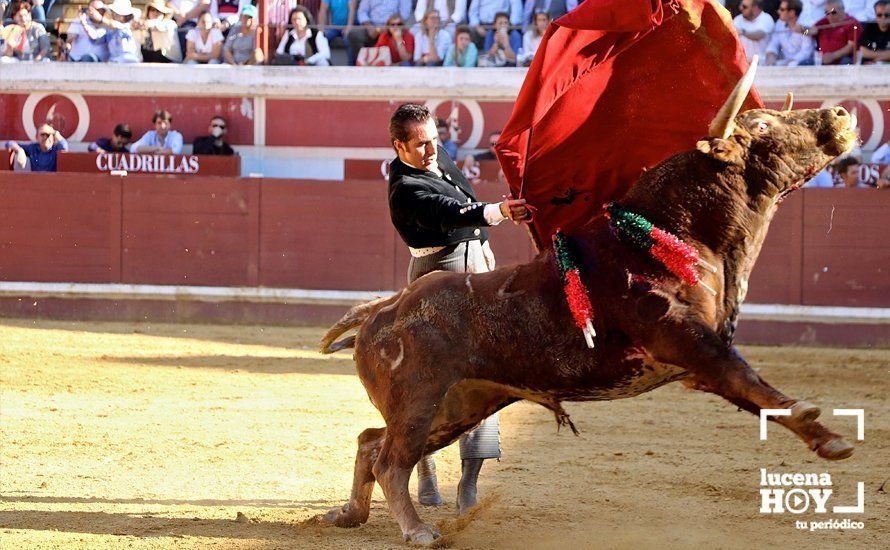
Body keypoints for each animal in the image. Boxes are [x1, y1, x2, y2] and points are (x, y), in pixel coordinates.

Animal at [316, 62, 856, 544]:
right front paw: (820, 425)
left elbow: (751, 393)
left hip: (457, 406)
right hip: (420, 403)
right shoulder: (684, 338)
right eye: (762, 125)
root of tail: (382, 309)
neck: (669, 234)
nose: (840, 115)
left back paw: (349, 514)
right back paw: (416, 529)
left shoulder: (695, 360)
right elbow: (746, 378)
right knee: (391, 460)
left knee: (371, 442)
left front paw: (826, 438)